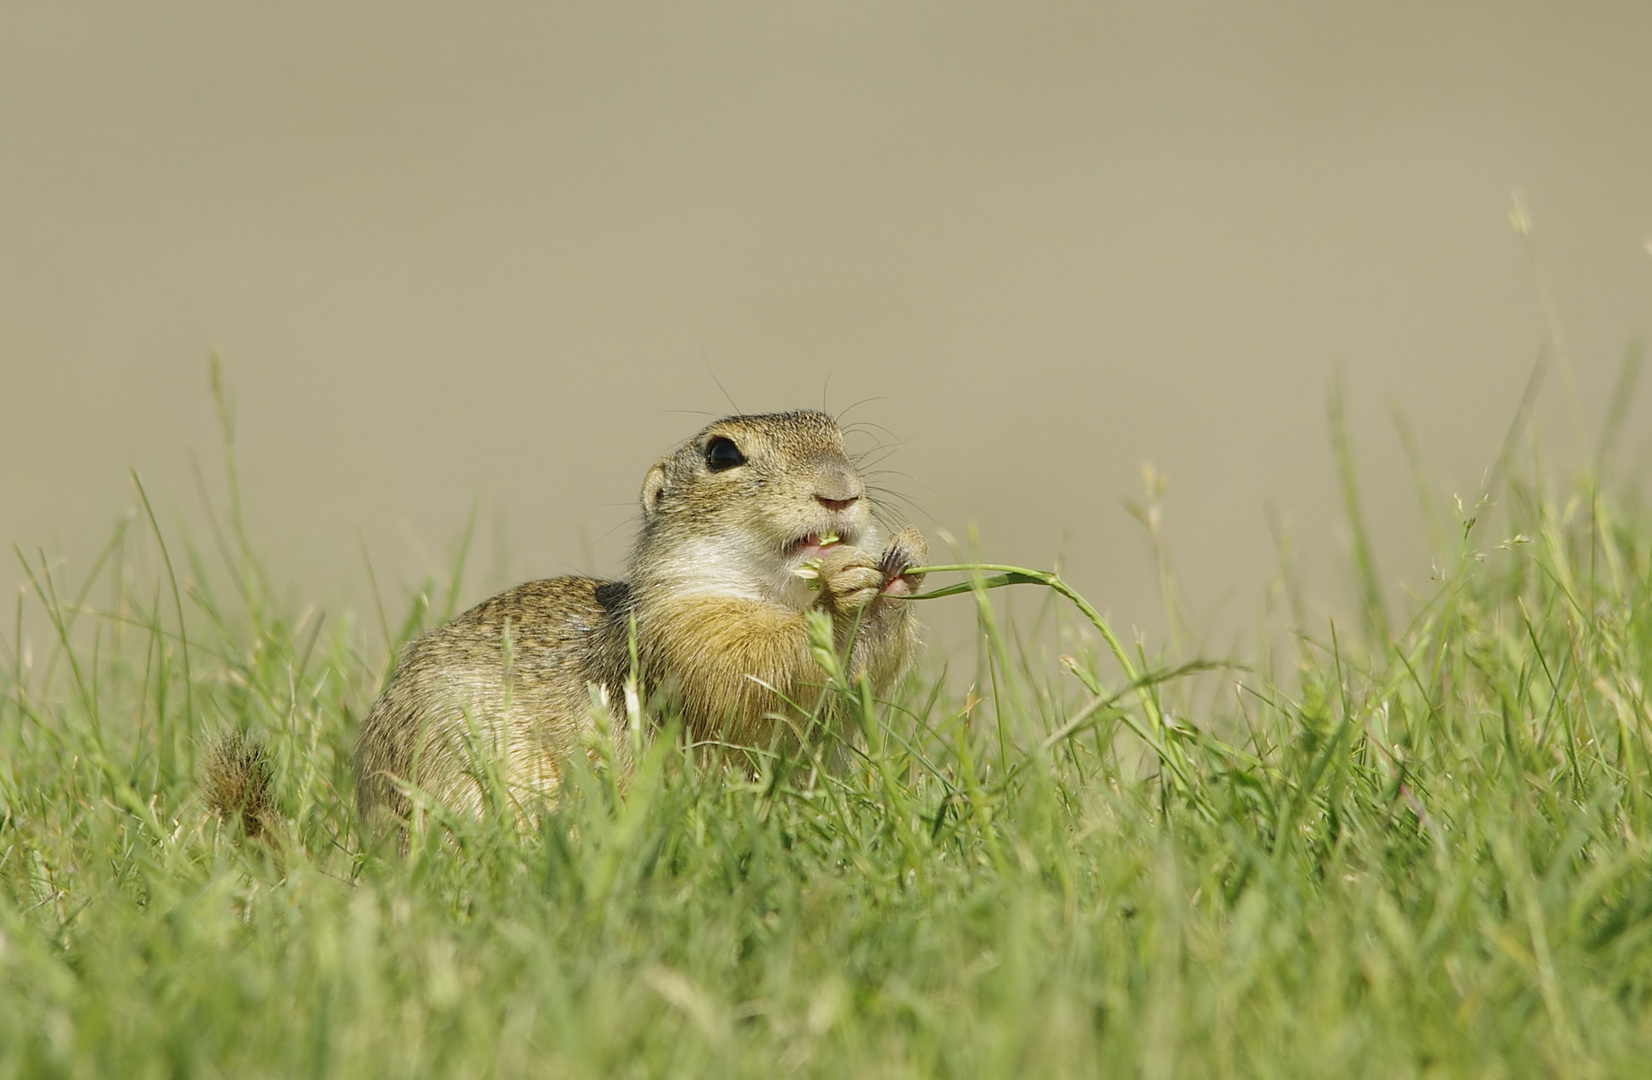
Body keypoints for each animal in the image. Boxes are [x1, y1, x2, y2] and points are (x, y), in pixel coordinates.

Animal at [353, 414, 925, 828]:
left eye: (841, 438)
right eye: (722, 454)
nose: (841, 491)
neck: (776, 594)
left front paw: (904, 563)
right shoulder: (683, 635)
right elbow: (750, 672)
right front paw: (840, 589)